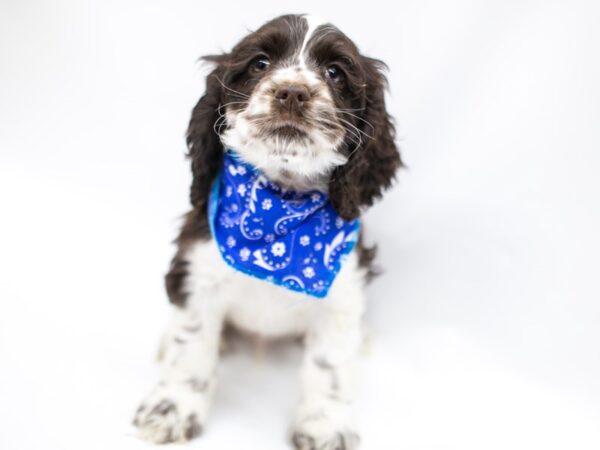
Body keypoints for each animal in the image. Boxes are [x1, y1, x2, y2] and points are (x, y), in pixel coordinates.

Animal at [134, 12, 400, 448]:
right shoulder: (196, 273)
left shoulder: (341, 296)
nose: (292, 92)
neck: (280, 205)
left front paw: (324, 423)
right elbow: (191, 346)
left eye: (335, 72)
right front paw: (172, 408)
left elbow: (328, 364)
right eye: (259, 64)